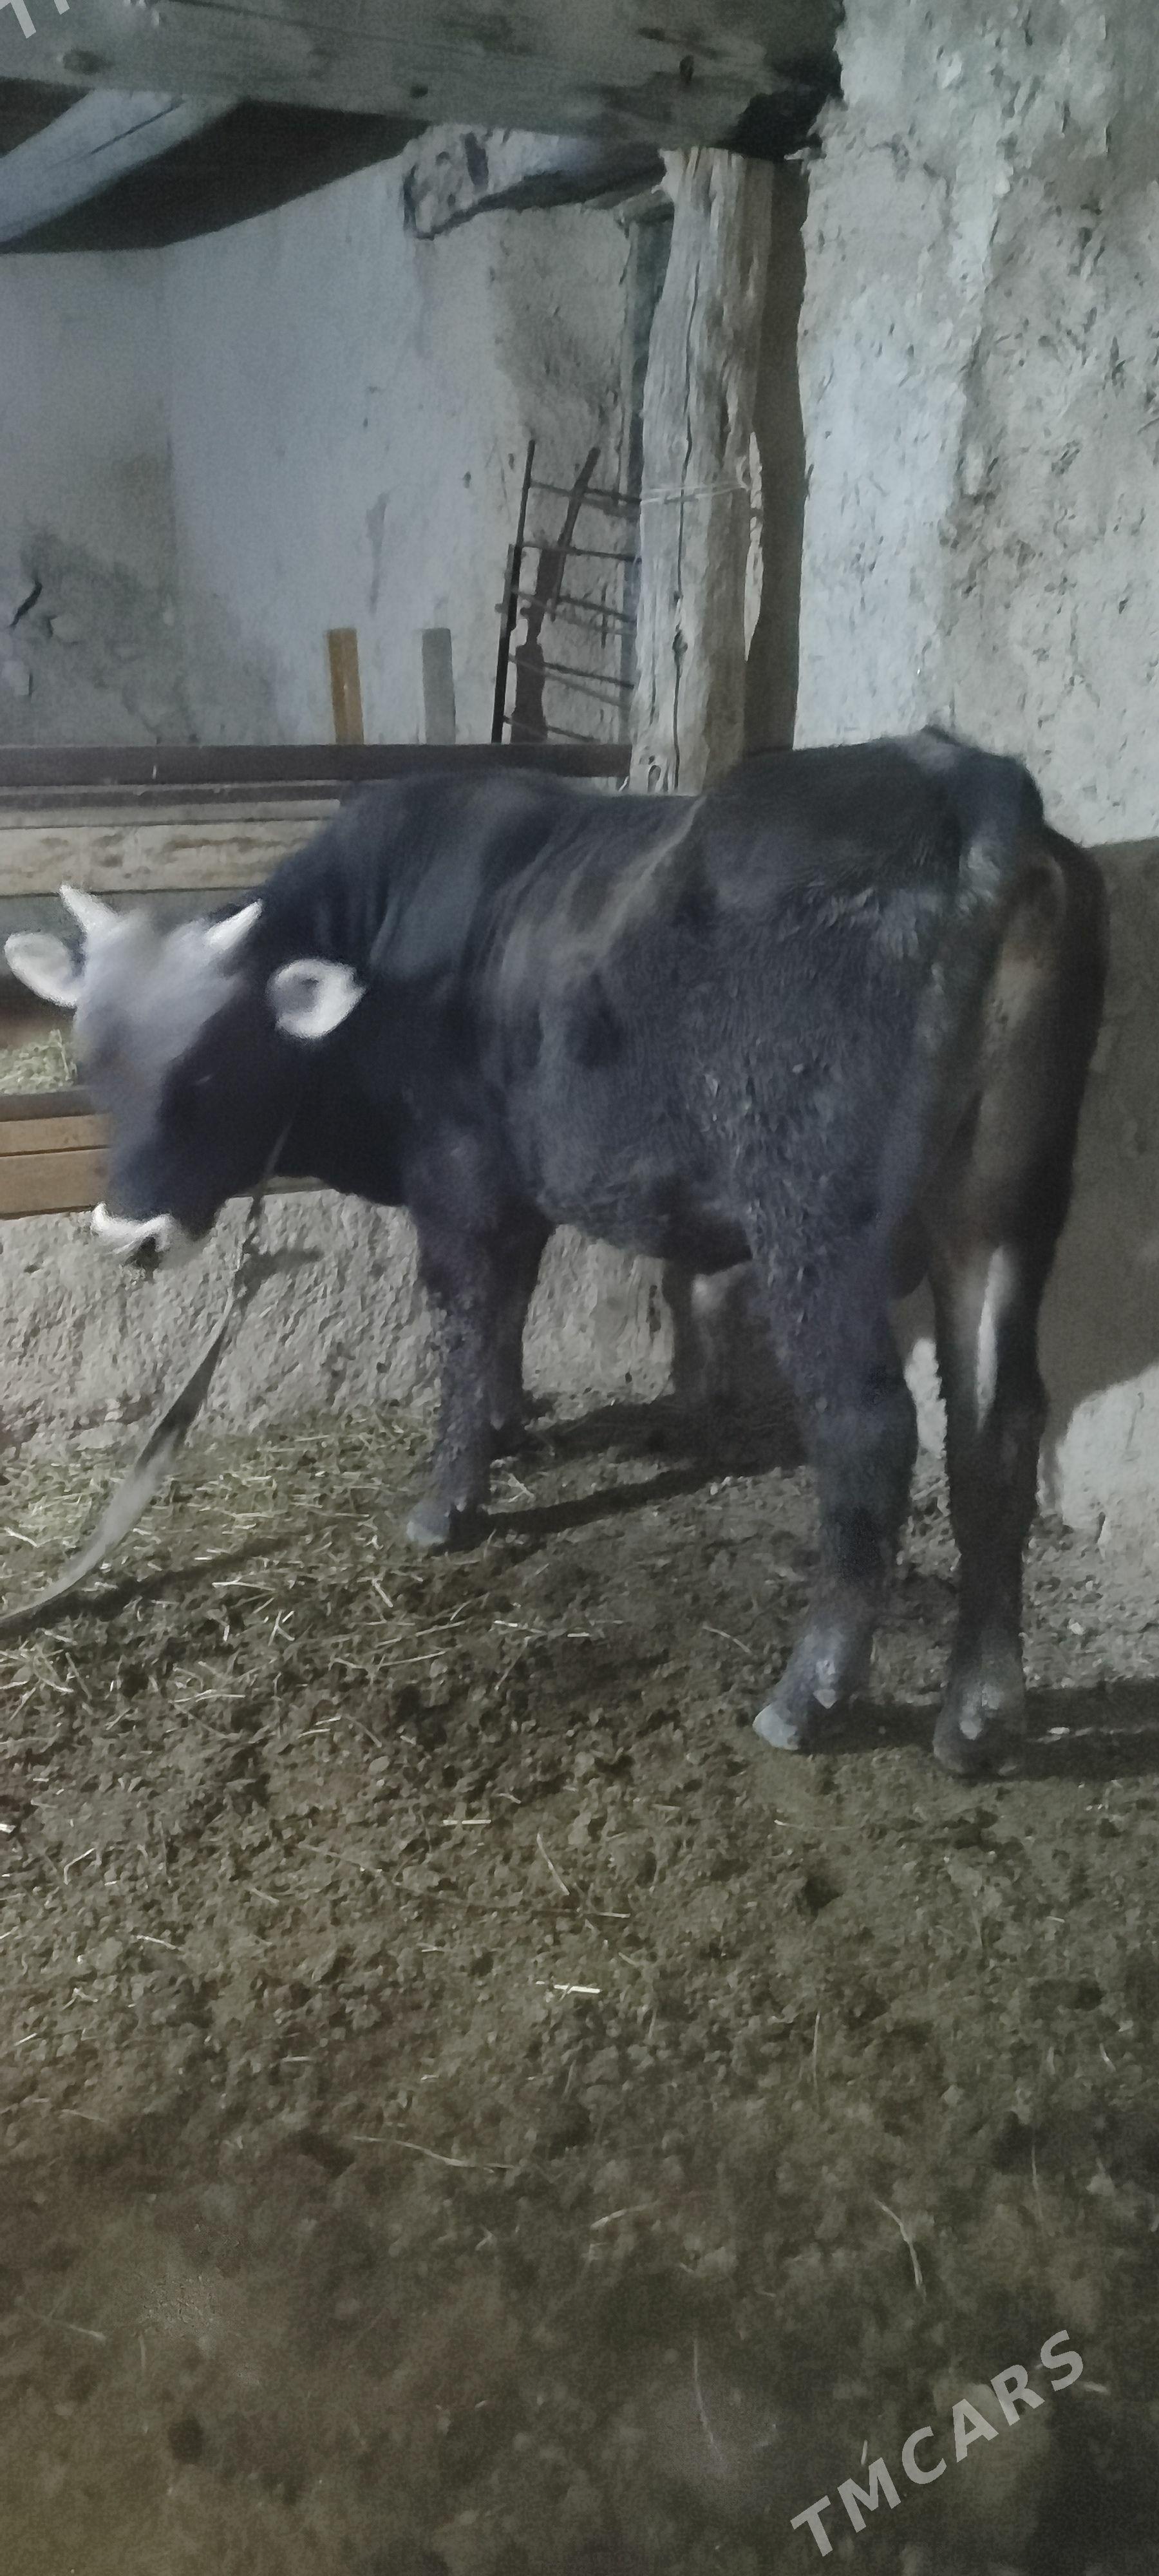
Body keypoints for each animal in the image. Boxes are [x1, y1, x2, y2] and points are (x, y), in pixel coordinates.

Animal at [5, 732, 1106, 1777]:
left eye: (215, 1066)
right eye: (90, 1063)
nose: (130, 1235)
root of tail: (960, 779)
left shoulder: (456, 1178)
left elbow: (461, 1315)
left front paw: (448, 1500)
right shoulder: (516, 1188)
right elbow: (507, 1309)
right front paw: (508, 1425)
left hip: (816, 1222)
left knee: (870, 1428)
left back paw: (811, 1694)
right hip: (1004, 1210)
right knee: (998, 1423)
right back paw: (979, 1711)